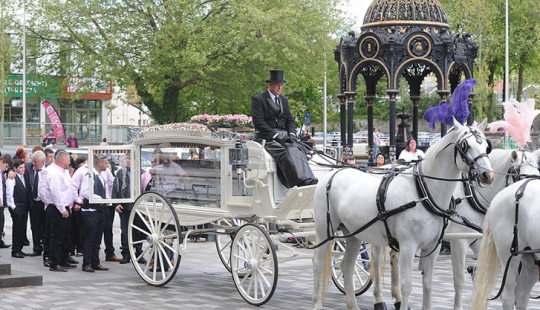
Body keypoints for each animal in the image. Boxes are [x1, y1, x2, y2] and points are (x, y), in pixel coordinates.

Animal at [312, 118, 494, 310]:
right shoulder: (410, 245)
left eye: (486, 146)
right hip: (325, 232)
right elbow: (407, 285)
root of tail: (334, 172)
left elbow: (428, 283)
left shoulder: (433, 247)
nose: (487, 175)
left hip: (353, 234)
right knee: (318, 263)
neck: (424, 192)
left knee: (347, 265)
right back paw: (317, 303)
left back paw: (353, 305)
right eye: (465, 146)